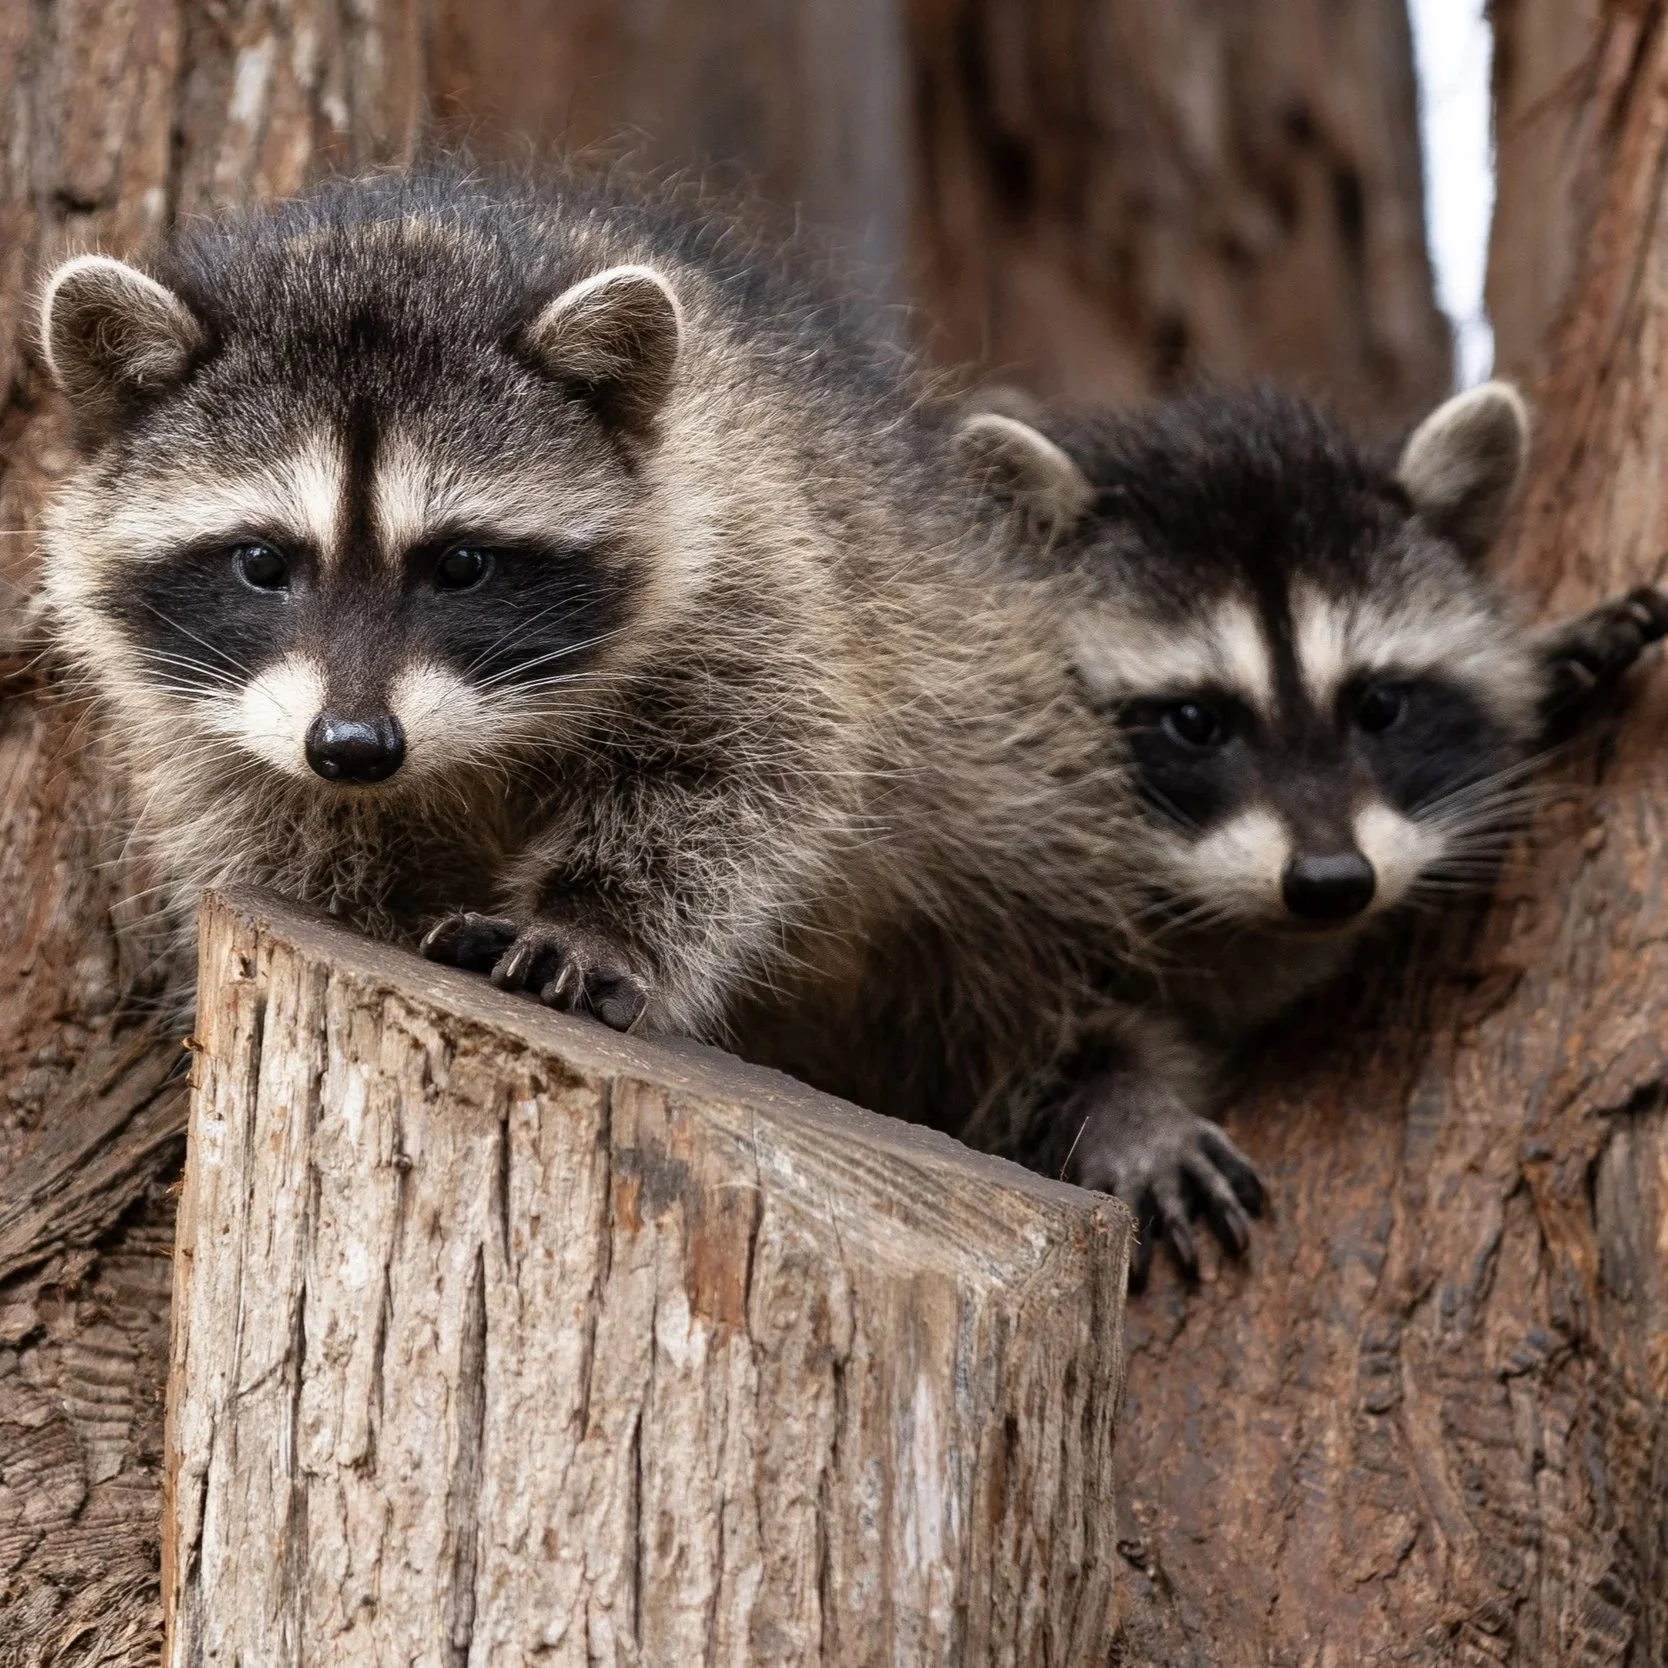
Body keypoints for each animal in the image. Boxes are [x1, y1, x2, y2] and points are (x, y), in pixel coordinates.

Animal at [36, 167, 1129, 1116]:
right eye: (262, 562)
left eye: (462, 565)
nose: (353, 747)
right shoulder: (211, 724)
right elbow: (271, 835)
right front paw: (363, 911)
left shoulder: (750, 550)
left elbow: (744, 764)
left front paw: (593, 918)